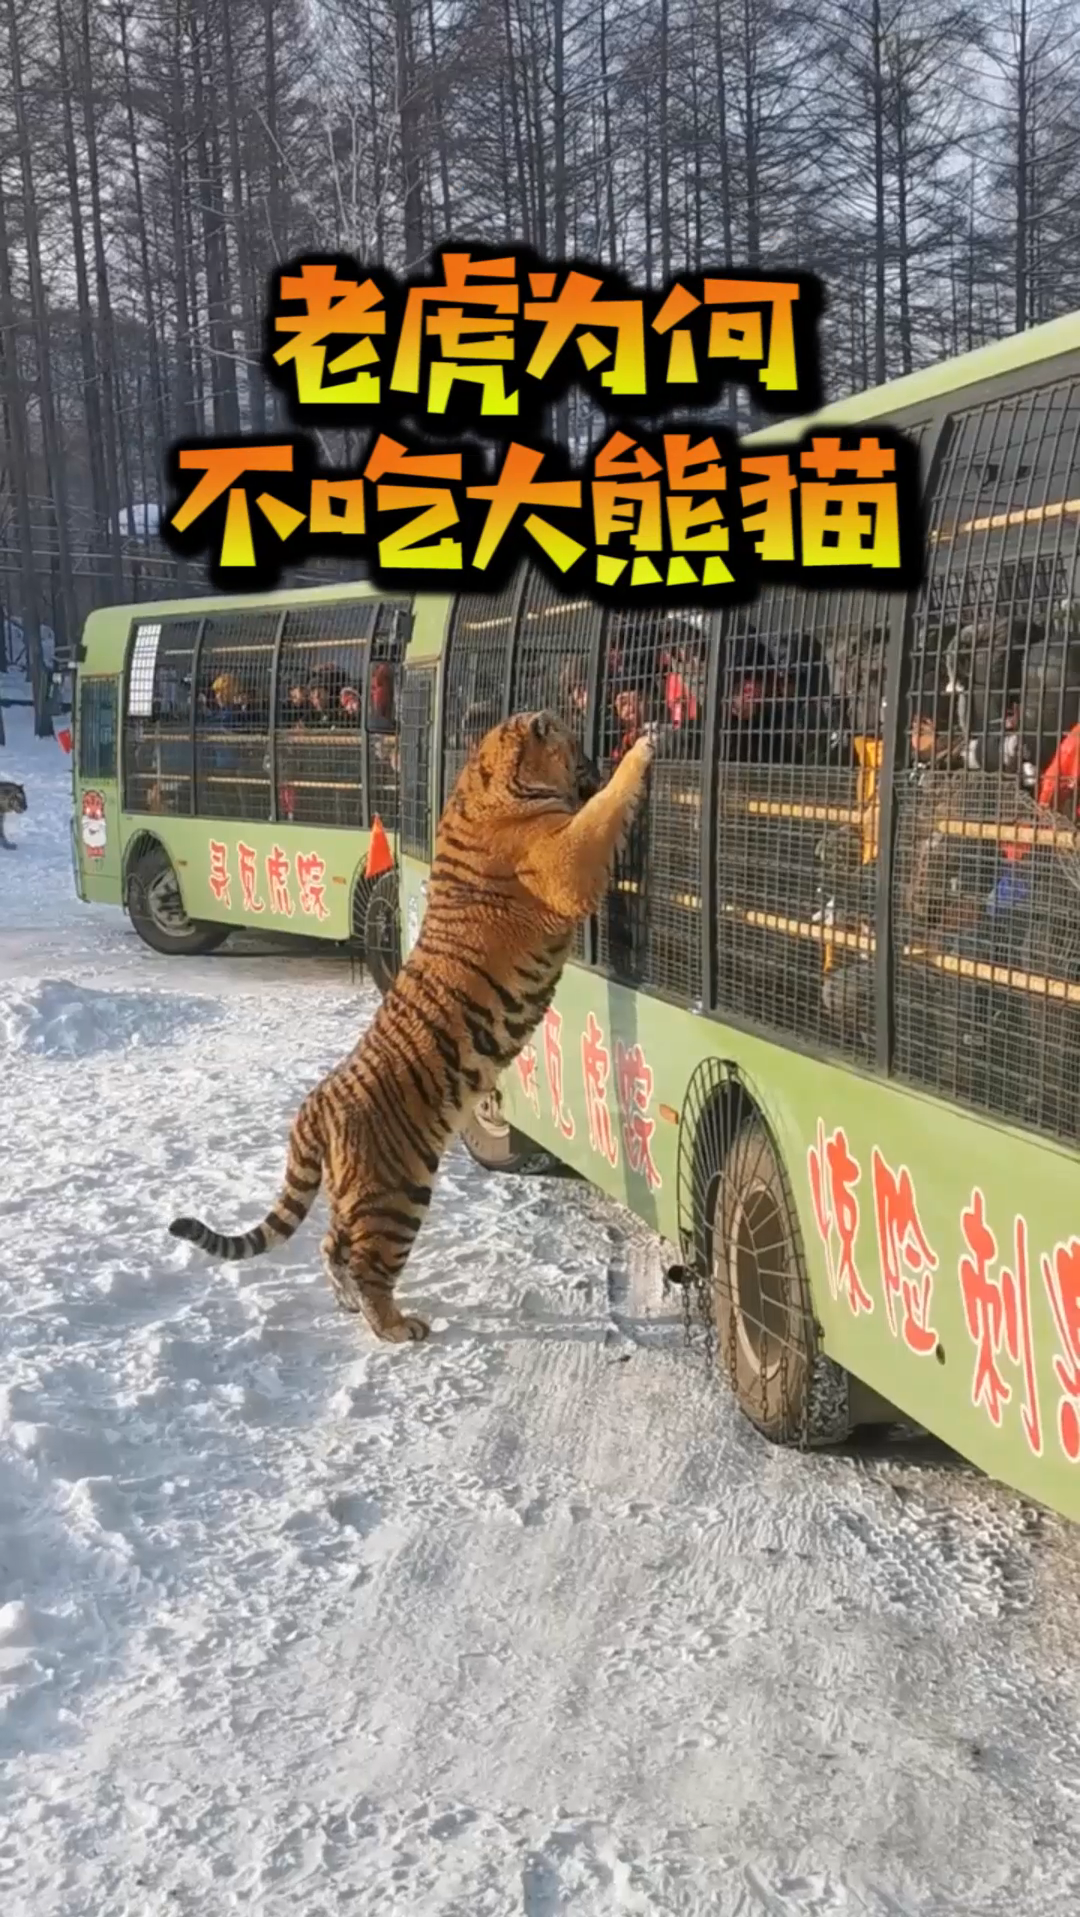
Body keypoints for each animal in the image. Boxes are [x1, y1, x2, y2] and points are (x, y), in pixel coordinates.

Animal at [169, 711, 653, 1344]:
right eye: (574, 741)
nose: (598, 753)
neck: (487, 777)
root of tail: (316, 1104)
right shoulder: (564, 857)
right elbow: (603, 811)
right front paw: (643, 748)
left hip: (356, 1193)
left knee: (330, 1246)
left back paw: (349, 1305)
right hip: (396, 1192)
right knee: (365, 1261)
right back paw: (396, 1327)